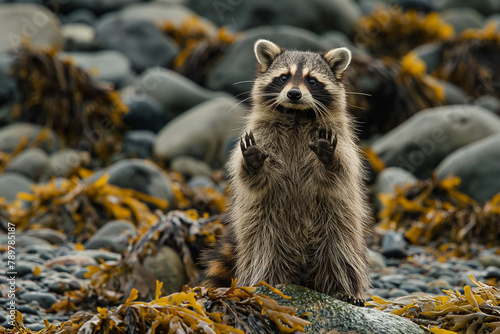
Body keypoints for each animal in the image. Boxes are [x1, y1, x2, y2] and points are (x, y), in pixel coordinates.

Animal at [193, 39, 370, 306]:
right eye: (283, 77)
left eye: (312, 80)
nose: (293, 94)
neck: (296, 115)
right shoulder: (259, 135)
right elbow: (249, 177)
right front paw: (253, 163)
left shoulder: (343, 139)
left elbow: (341, 171)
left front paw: (329, 157)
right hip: (265, 226)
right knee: (265, 254)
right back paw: (268, 284)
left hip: (337, 222)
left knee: (340, 254)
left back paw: (343, 289)